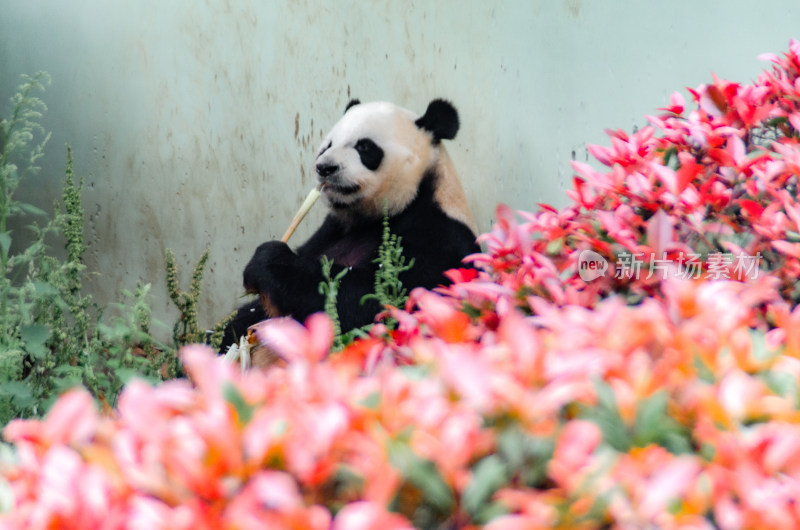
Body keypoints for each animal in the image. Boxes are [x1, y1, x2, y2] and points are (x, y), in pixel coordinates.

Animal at [219, 99, 478, 350]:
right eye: (327, 145)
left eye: (364, 147)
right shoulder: (331, 230)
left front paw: (267, 260)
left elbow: (374, 299)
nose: (325, 167)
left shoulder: (437, 235)